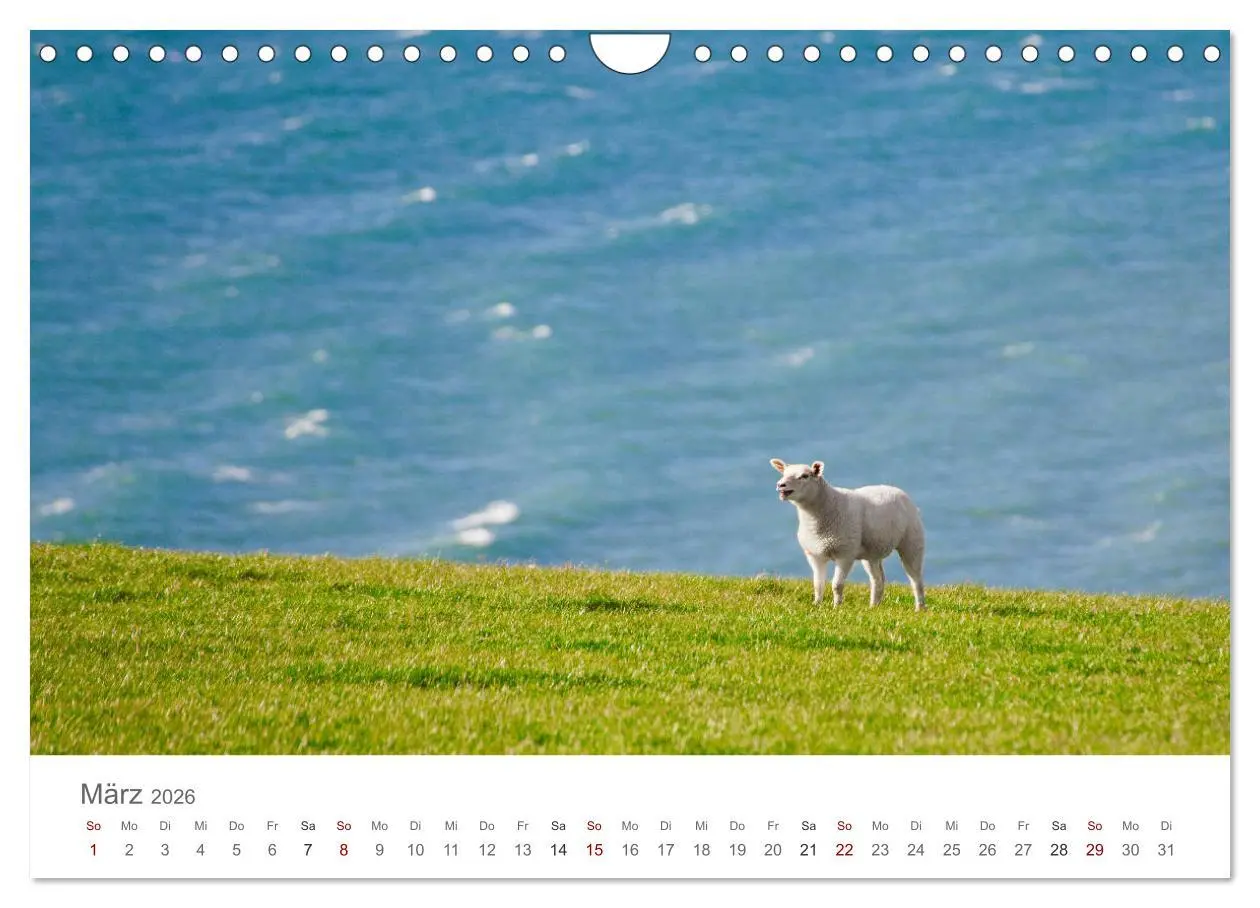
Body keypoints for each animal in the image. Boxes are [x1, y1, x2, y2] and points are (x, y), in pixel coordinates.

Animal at [770, 458, 926, 610]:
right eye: (784, 473)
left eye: (805, 476)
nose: (780, 485)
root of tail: (895, 489)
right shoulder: (814, 554)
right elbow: (817, 584)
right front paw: (816, 604)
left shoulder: (845, 554)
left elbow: (837, 585)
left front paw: (837, 607)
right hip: (872, 551)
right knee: (878, 579)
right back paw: (873, 606)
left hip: (912, 541)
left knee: (915, 578)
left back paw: (920, 608)